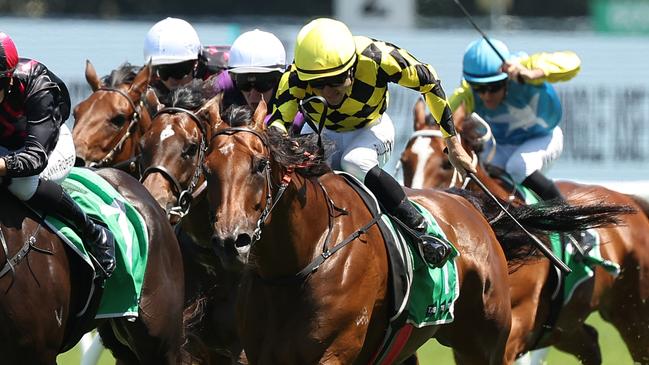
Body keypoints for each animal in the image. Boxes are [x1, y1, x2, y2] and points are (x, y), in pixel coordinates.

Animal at [400, 112, 648, 362]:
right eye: (404, 160)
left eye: (445, 163)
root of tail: (630, 200)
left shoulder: (515, 327)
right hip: (564, 326)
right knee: (591, 342)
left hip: (634, 312)